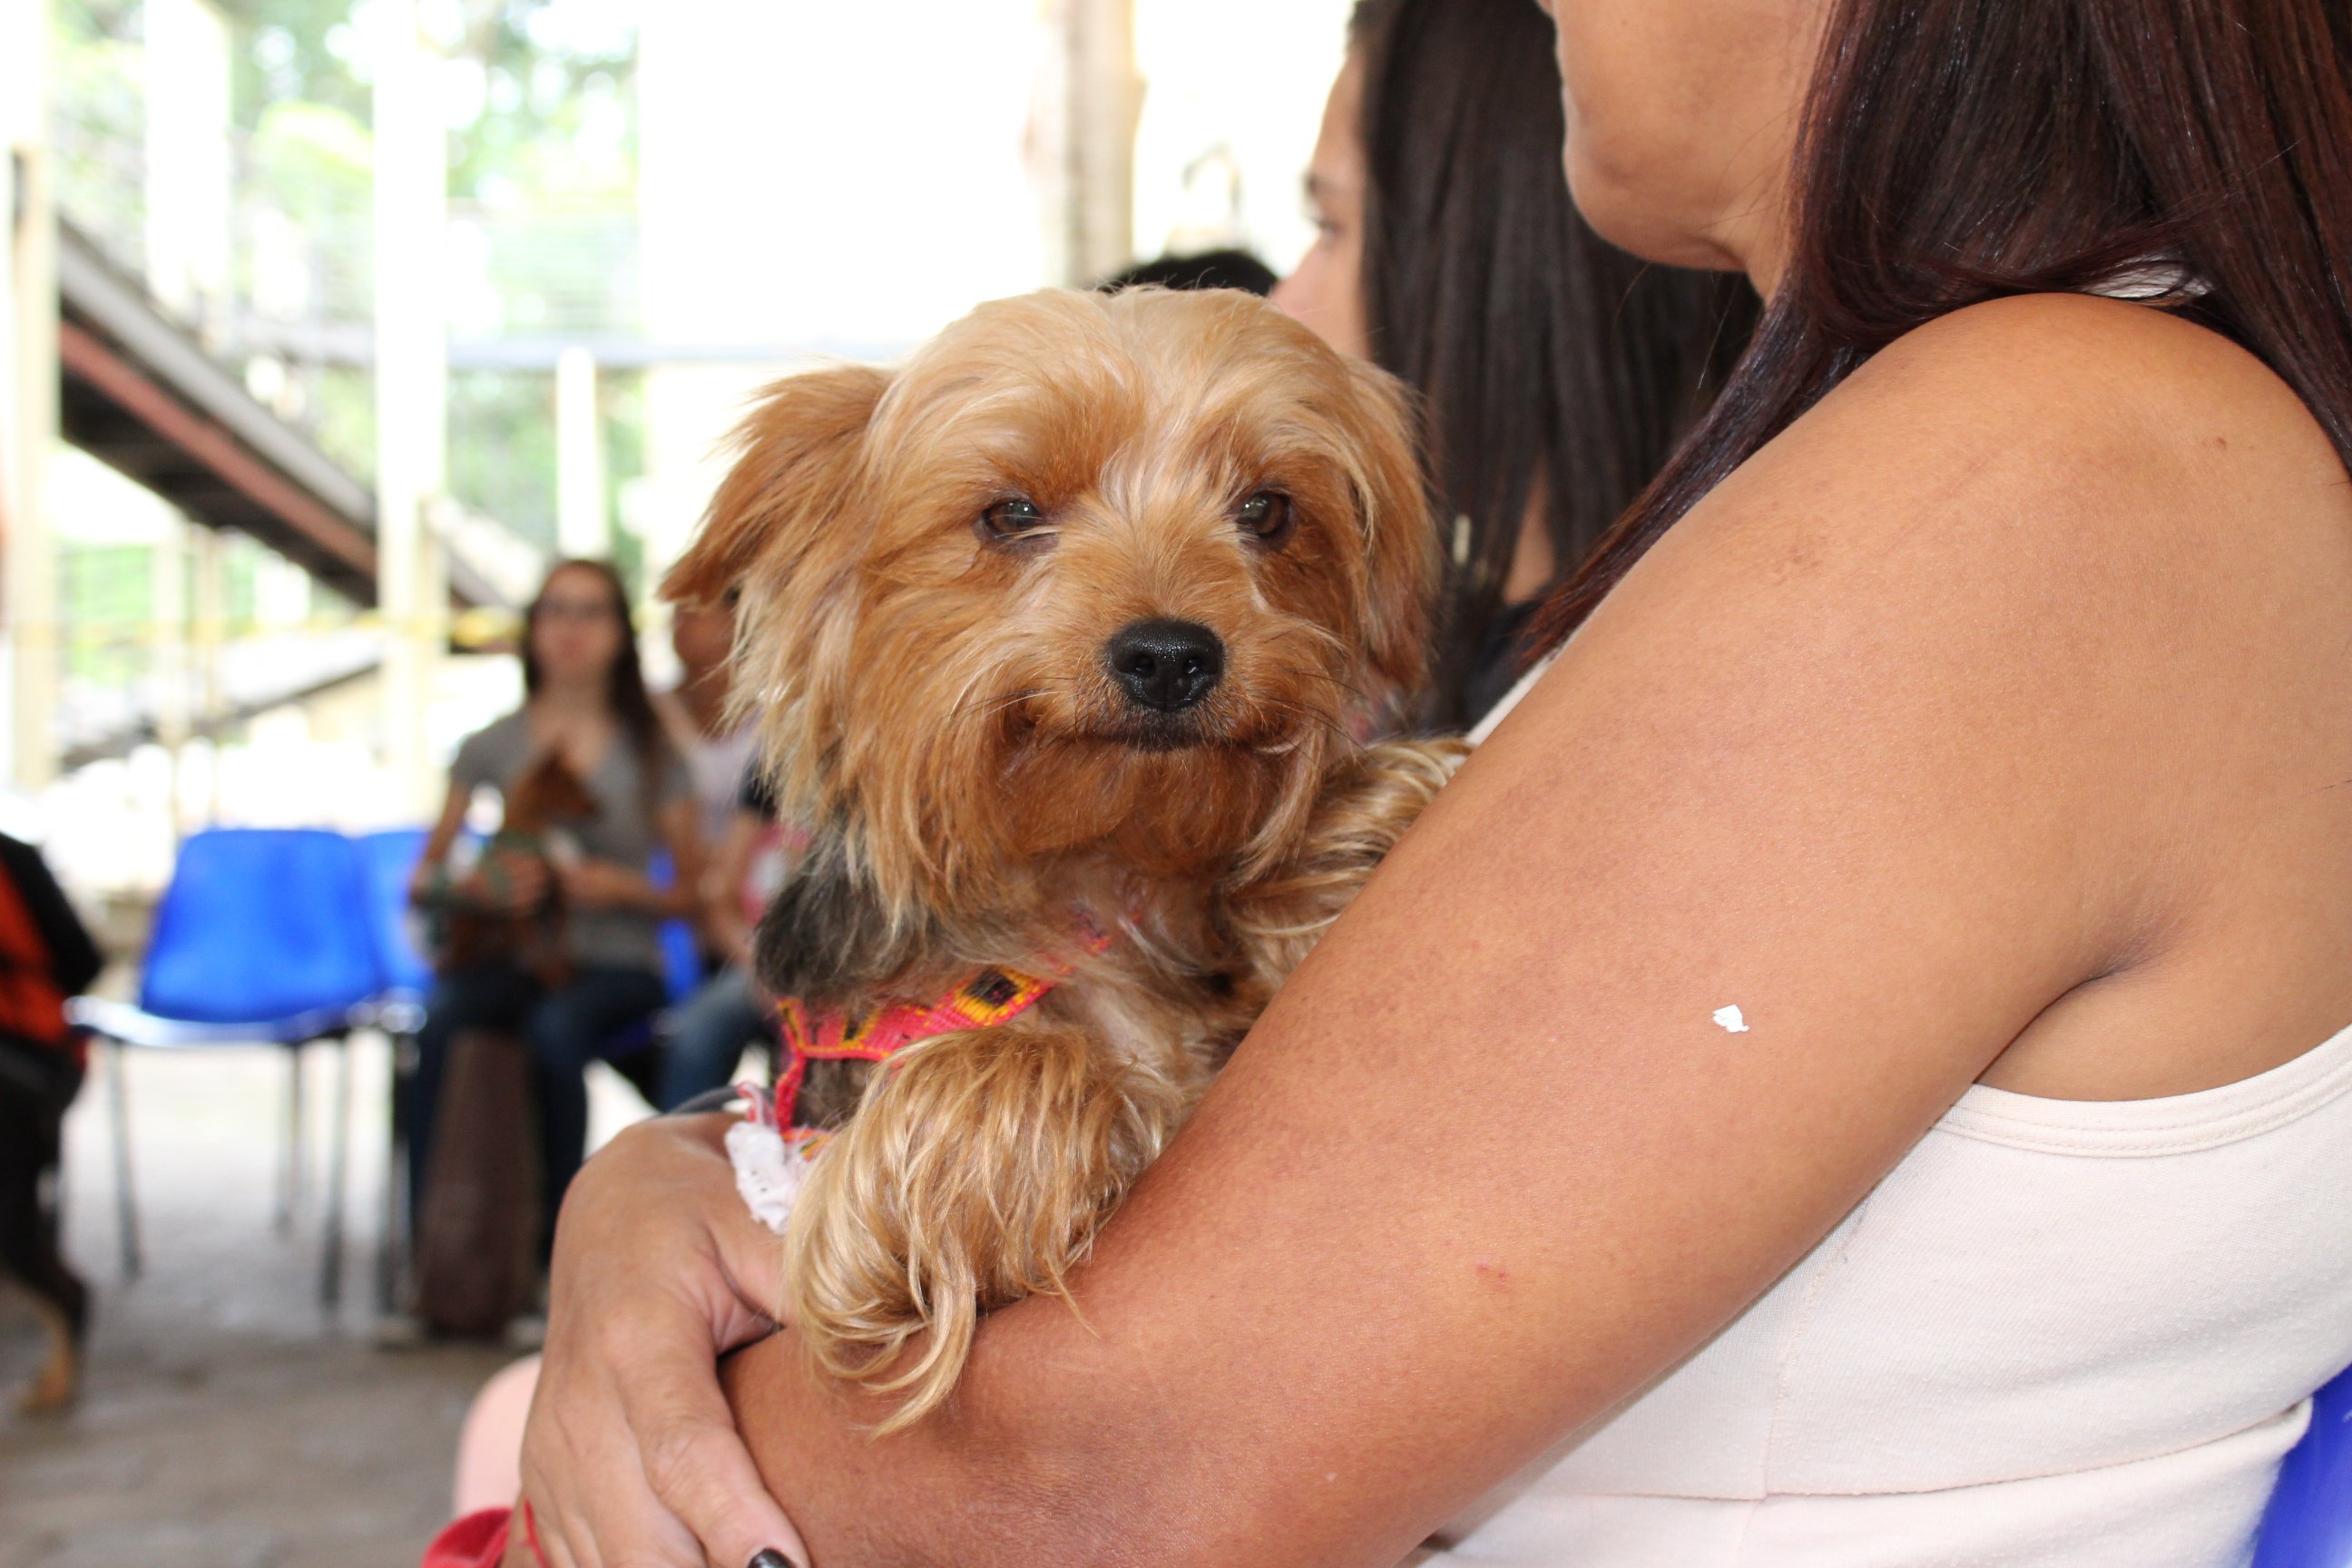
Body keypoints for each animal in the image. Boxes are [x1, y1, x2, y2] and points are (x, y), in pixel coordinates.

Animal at [668, 288, 1467, 1429]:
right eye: (1010, 515)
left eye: (1268, 511)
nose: (1172, 654)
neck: (1095, 866)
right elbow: (1015, 1065)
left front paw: (1350, 825)